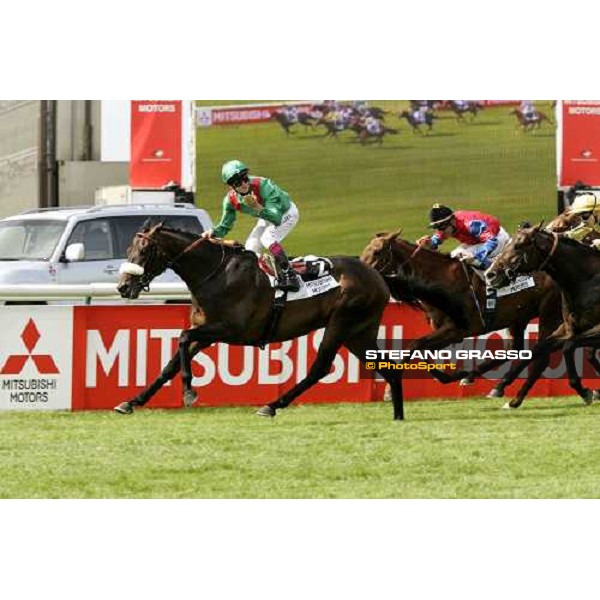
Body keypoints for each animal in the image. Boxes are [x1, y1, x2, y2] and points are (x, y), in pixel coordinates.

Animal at [113, 220, 404, 418]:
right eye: (128, 248)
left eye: (145, 250)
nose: (123, 287)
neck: (216, 273)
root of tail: (377, 276)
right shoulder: (205, 330)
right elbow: (171, 363)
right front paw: (132, 401)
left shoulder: (229, 329)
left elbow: (183, 338)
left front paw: (188, 392)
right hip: (359, 332)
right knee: (388, 366)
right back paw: (398, 412)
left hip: (341, 323)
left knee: (319, 369)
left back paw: (272, 405)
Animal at [360, 232, 564, 406]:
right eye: (365, 251)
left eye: (377, 252)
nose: (361, 272)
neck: (440, 281)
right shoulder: (444, 331)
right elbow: (423, 351)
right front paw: (450, 376)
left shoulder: (455, 330)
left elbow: (414, 345)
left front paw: (389, 391)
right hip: (518, 317)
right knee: (516, 350)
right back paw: (490, 384)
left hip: (549, 311)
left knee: (540, 355)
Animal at [488, 227, 600, 406]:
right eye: (507, 244)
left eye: (519, 246)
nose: (490, 274)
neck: (586, 280)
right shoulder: (566, 330)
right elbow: (536, 350)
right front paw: (501, 388)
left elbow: (568, 347)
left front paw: (584, 391)